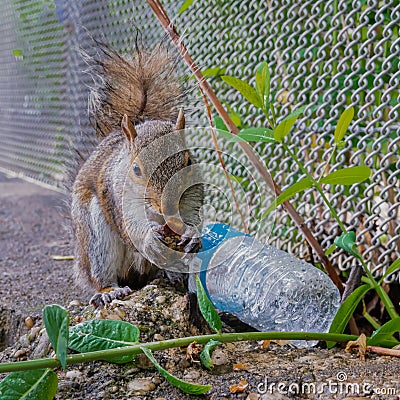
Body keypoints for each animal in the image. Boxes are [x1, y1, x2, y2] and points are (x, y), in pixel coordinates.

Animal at [69, 43, 203, 308]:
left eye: (188, 161)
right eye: (137, 170)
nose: (168, 207)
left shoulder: (192, 194)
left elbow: (192, 213)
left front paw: (192, 234)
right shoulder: (117, 197)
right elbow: (132, 227)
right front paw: (149, 239)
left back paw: (171, 274)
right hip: (94, 236)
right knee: (101, 273)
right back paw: (109, 290)